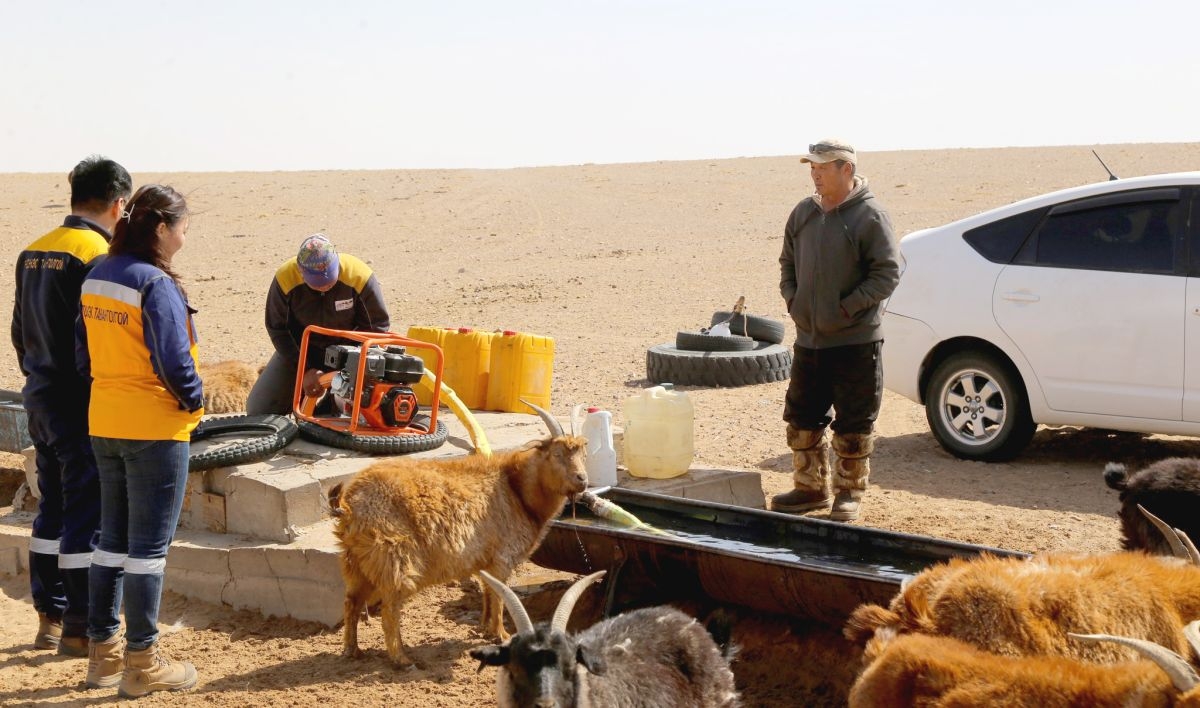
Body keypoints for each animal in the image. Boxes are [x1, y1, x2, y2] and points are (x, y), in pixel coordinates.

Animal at [328, 403, 590, 667]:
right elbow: (499, 596)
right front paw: (502, 635)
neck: (516, 490)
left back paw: (352, 650)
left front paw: (485, 629)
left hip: (357, 562)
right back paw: (402, 659)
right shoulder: (502, 558)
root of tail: (349, 504)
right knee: (389, 609)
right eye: (556, 454)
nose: (582, 479)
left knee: (351, 602)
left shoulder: (485, 561)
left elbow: (488, 593)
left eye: (583, 454)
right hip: (394, 558)